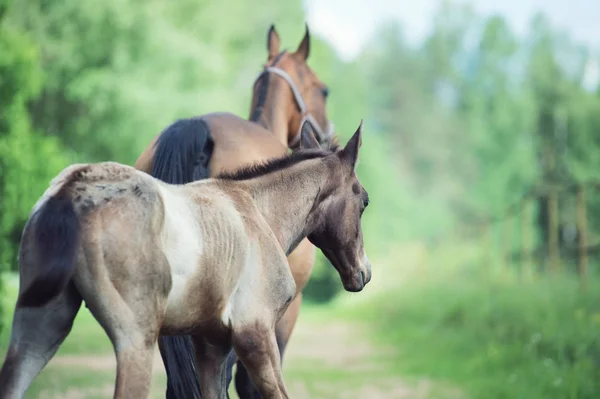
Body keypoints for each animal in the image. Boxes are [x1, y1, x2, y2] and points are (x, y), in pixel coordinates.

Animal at [0, 122, 372, 399]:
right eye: (364, 201)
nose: (363, 273)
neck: (257, 211)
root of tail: (73, 190)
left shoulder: (210, 344)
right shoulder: (255, 333)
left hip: (39, 329)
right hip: (136, 340)